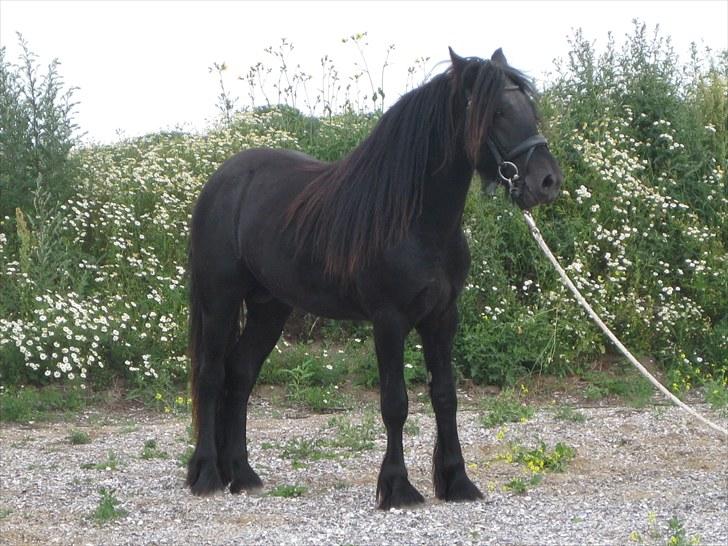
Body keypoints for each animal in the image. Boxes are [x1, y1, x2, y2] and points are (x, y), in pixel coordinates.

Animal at [186, 48, 562, 510]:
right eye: (496, 112)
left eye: (529, 107)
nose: (547, 181)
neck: (417, 222)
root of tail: (223, 179)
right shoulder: (389, 320)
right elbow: (395, 403)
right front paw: (397, 487)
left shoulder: (442, 317)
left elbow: (445, 396)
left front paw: (457, 481)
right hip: (219, 300)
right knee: (211, 375)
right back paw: (206, 474)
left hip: (267, 307)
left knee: (240, 374)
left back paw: (242, 474)